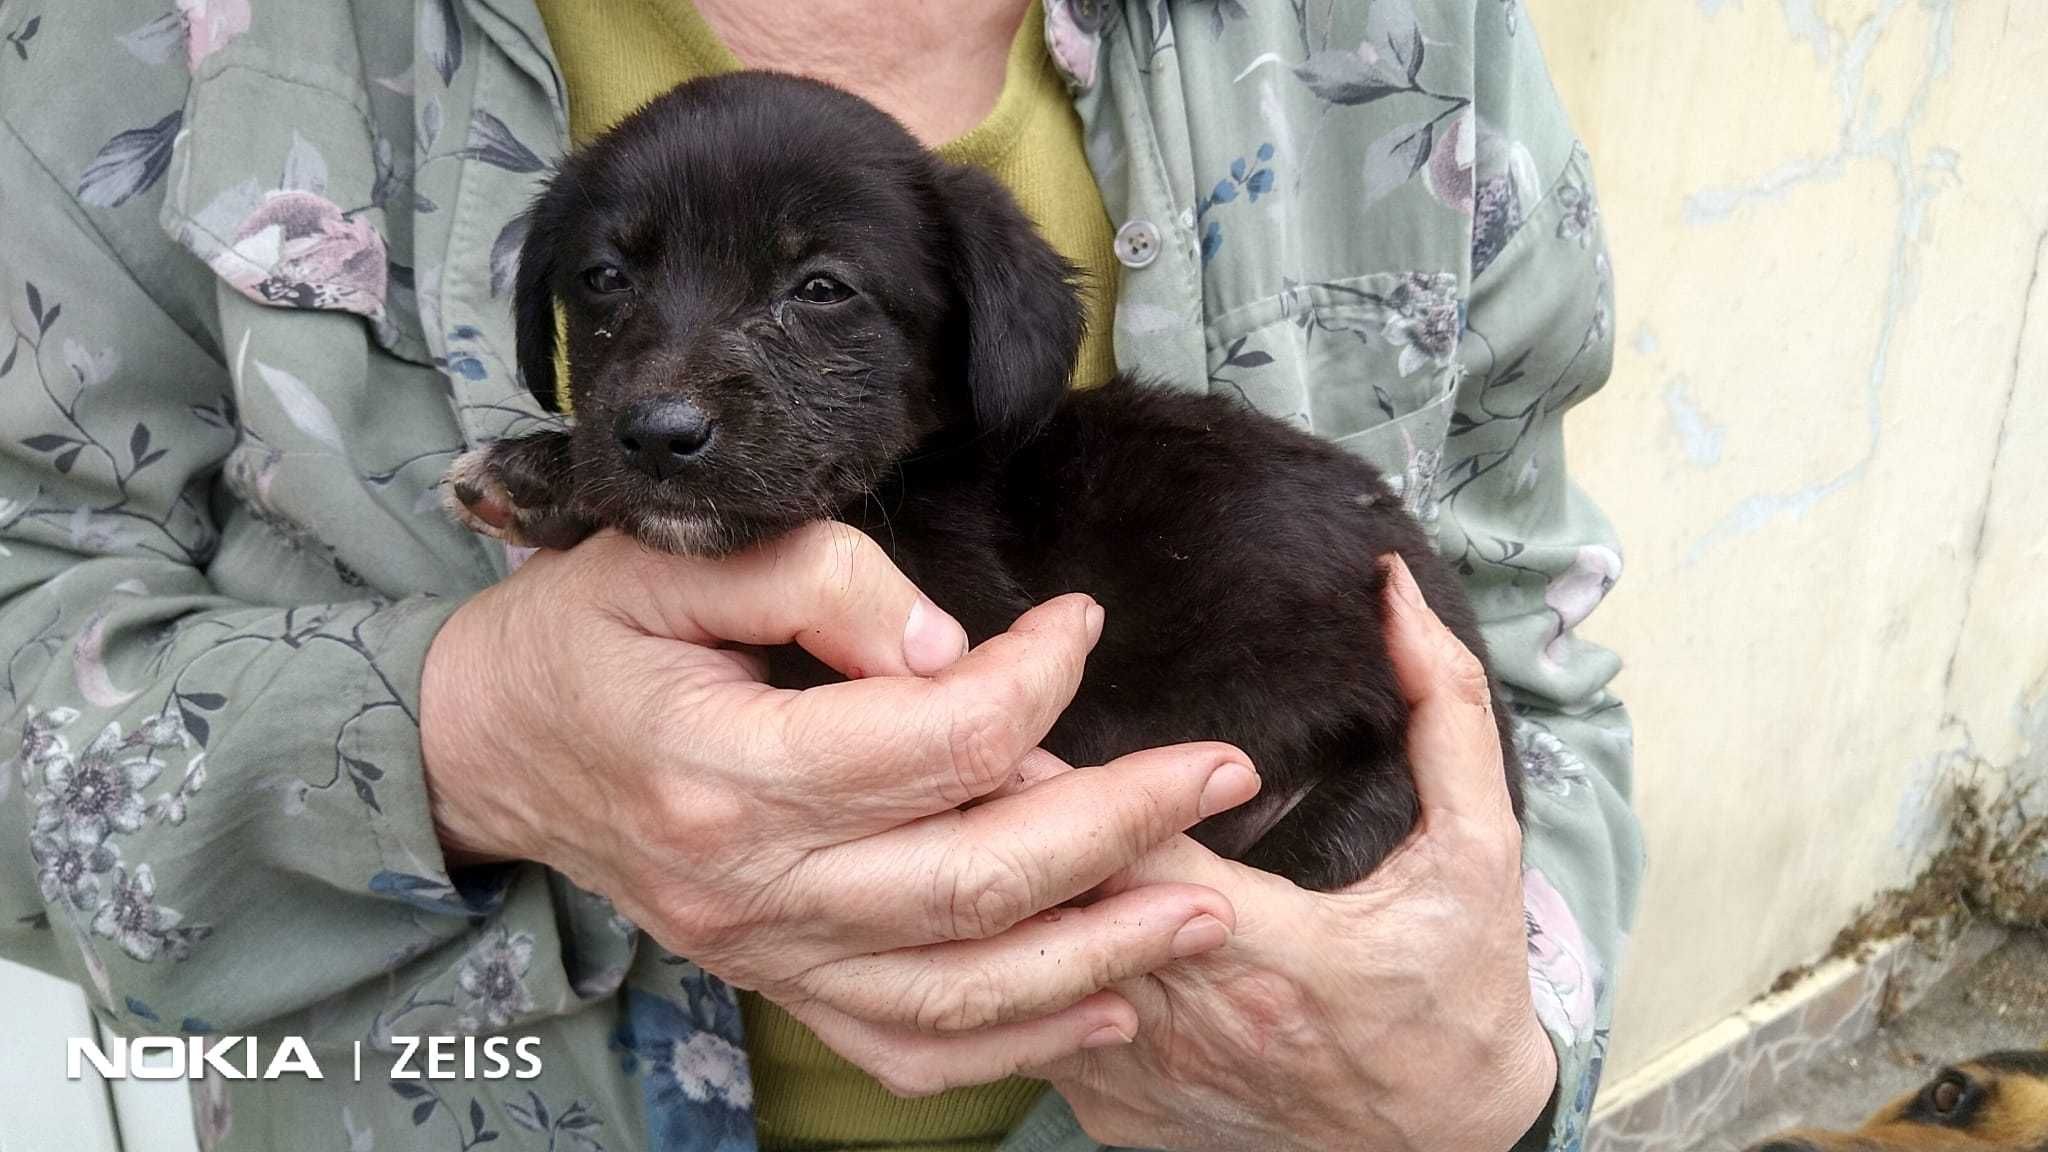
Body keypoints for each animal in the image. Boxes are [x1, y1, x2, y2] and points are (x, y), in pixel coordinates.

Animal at [448, 69, 1523, 889]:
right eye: (603, 279)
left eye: (823, 289)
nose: (658, 438)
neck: (924, 462)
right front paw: (545, 466)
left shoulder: (962, 620)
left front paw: (543, 474)